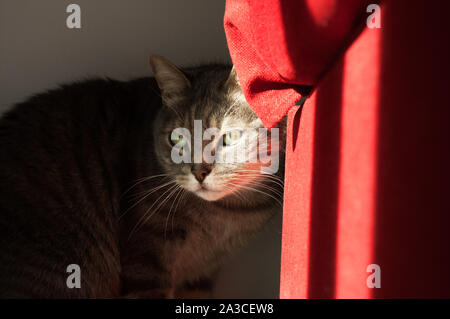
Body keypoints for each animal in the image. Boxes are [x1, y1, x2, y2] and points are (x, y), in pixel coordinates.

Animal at [0, 56, 284, 298]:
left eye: (230, 137)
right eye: (177, 139)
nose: (199, 172)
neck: (224, 217)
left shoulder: (201, 274)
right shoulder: (146, 258)